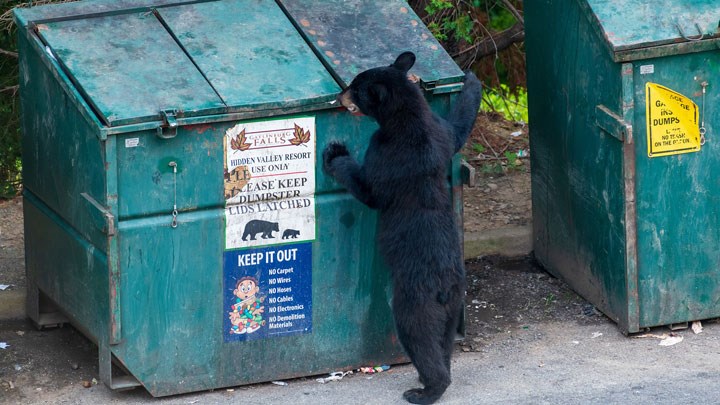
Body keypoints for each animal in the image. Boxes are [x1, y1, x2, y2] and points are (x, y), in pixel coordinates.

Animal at [324, 52, 480, 402]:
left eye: (355, 89)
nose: (339, 95)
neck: (408, 117)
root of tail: (445, 285)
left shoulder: (384, 149)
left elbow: (368, 189)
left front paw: (335, 153)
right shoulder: (440, 132)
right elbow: (458, 128)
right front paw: (472, 79)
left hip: (414, 301)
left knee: (418, 336)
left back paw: (425, 390)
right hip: (454, 307)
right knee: (443, 342)